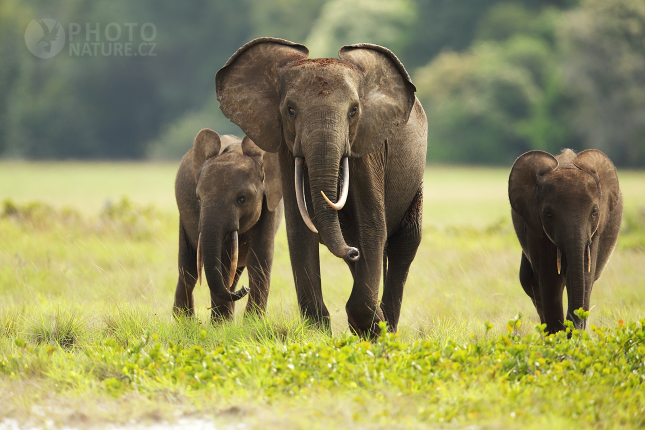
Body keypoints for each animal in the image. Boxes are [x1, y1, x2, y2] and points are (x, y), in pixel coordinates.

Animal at [171, 129, 282, 320]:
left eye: (242, 199)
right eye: (198, 199)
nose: (245, 289)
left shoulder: (269, 203)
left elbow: (260, 256)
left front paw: (253, 322)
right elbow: (222, 259)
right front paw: (220, 324)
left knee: (234, 271)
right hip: (183, 216)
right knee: (189, 266)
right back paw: (184, 320)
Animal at [218, 37, 428, 338]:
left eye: (354, 111)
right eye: (290, 110)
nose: (352, 250)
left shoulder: (367, 147)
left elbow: (372, 225)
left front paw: (369, 328)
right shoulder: (285, 146)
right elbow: (299, 229)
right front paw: (319, 332)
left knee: (405, 242)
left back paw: (387, 327)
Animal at [506, 148, 620, 332]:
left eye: (594, 212)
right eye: (548, 214)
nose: (573, 326)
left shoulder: (594, 234)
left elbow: (585, 277)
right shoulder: (536, 229)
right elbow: (550, 280)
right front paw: (557, 336)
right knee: (529, 282)